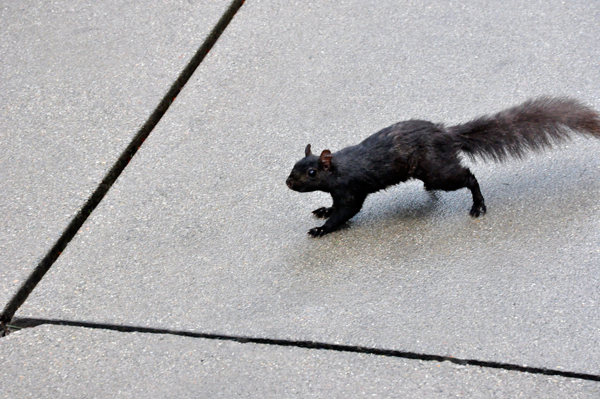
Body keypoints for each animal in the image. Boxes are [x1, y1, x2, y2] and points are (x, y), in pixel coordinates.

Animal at [286, 97, 600, 238]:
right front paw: (323, 210)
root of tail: (447, 135)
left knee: (469, 177)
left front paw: (322, 228)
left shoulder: (351, 190)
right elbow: (334, 206)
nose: (288, 183)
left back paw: (477, 205)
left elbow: (345, 212)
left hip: (439, 172)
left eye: (311, 173)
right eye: (294, 165)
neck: (339, 168)